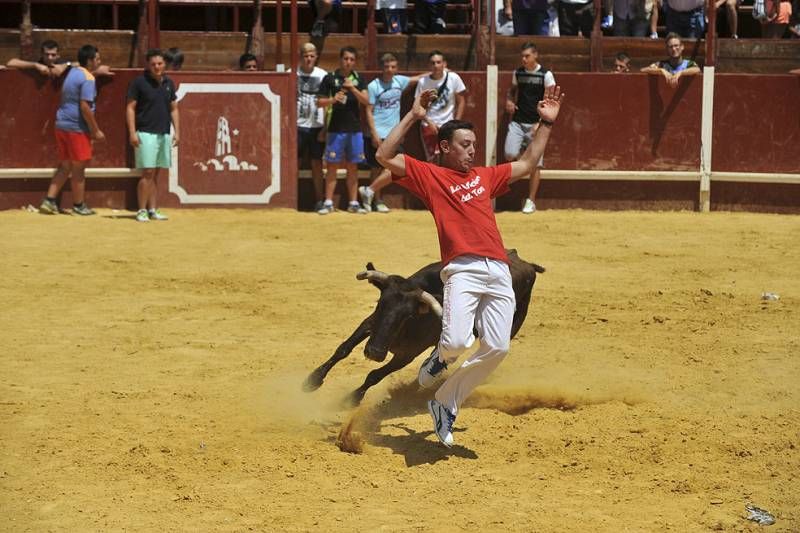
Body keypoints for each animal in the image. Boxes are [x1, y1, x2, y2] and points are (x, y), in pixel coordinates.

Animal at [302, 248, 544, 404]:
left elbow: (375, 374)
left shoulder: (406, 354)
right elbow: (343, 348)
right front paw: (312, 380)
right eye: (380, 303)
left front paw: (352, 398)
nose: (375, 352)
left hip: (511, 326)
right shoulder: (371, 324)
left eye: (408, 315)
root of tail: (526, 264)